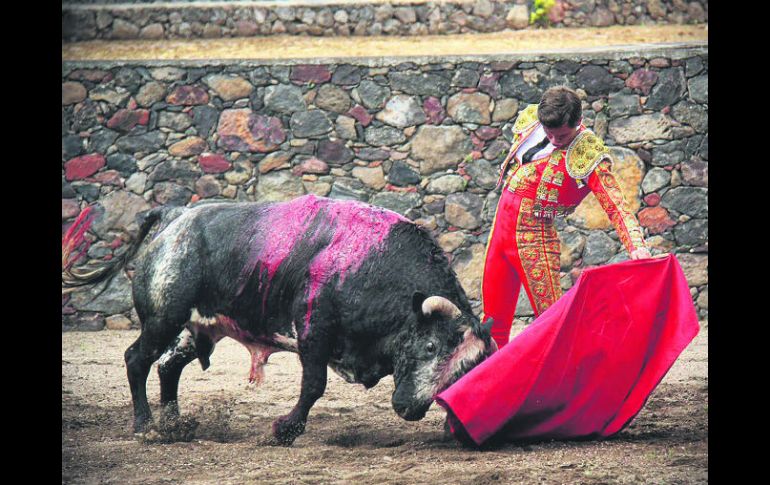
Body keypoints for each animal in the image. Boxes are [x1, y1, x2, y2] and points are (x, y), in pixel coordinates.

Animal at [67, 195, 498, 444]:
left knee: (168, 367)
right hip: (162, 318)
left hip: (195, 328)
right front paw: (284, 430)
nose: (410, 409)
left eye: (465, 369)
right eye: (430, 345)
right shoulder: (314, 333)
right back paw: (145, 425)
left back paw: (172, 424)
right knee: (137, 359)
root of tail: (176, 216)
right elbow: (313, 386)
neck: (375, 266)